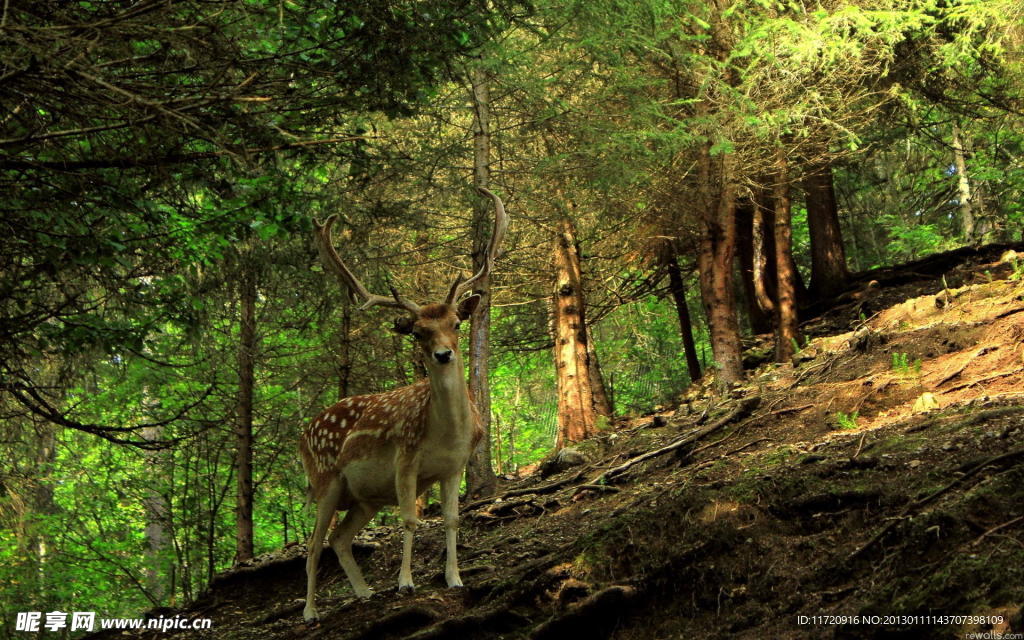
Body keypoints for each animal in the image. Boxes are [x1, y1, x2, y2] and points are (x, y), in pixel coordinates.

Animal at [299, 187, 507, 622]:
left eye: (456, 324)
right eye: (418, 332)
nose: (444, 354)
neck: (446, 435)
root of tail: (303, 432)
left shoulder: (454, 466)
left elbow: (452, 519)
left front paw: (454, 578)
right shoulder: (405, 458)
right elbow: (410, 520)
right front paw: (406, 583)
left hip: (364, 498)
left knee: (339, 538)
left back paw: (364, 592)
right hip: (325, 479)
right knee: (313, 544)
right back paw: (310, 612)